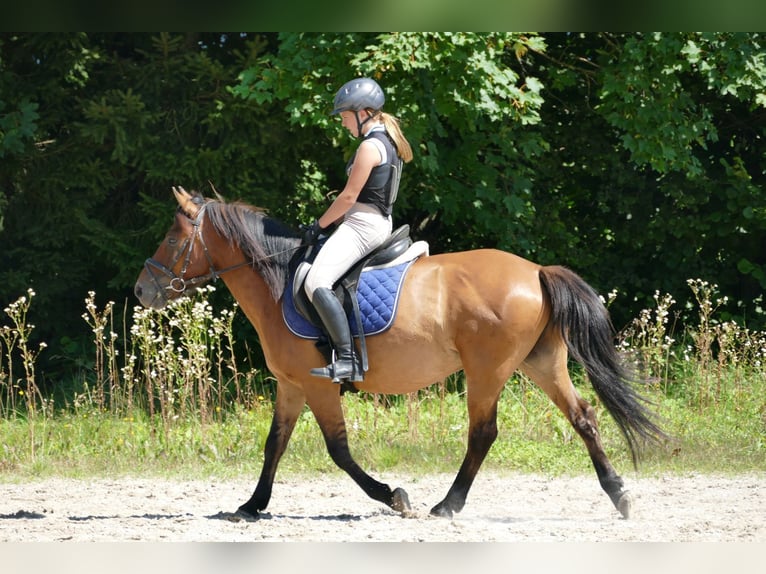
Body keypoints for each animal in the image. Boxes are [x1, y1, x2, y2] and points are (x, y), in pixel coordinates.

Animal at [136, 189, 664, 520]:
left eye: (172, 237)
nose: (142, 290)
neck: (279, 281)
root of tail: (535, 271)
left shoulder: (317, 385)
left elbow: (339, 451)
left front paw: (393, 495)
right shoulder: (290, 385)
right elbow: (274, 445)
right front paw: (251, 505)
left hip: (488, 370)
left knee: (483, 433)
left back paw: (448, 505)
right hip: (542, 363)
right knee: (584, 417)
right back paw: (619, 495)